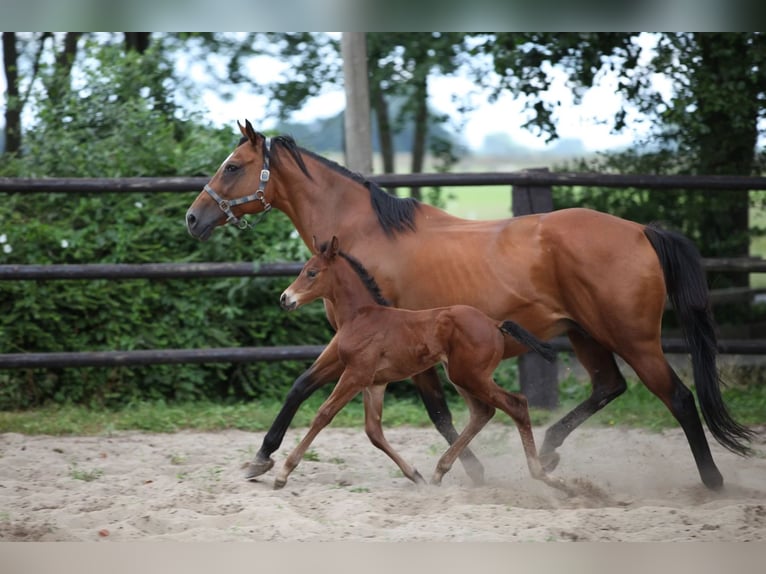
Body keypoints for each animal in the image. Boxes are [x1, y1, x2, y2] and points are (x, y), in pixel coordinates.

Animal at [274, 234, 570, 493]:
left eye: (312, 272)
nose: (285, 298)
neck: (362, 316)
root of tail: (494, 323)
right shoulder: (375, 383)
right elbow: (373, 431)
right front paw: (415, 475)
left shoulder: (355, 374)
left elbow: (323, 414)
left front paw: (283, 473)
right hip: (461, 376)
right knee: (483, 412)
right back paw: (440, 471)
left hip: (470, 377)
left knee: (515, 405)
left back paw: (547, 477)